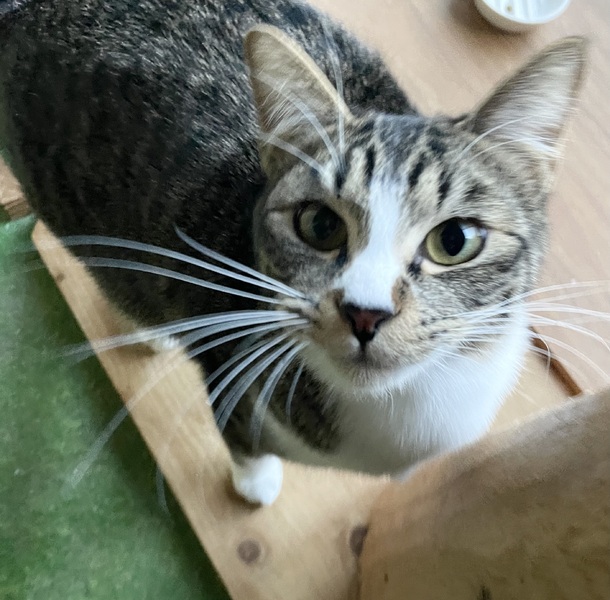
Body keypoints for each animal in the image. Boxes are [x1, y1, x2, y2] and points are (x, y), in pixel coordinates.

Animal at [0, 0, 586, 505]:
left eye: (455, 241)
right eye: (319, 225)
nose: (365, 313)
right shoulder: (230, 372)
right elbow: (241, 437)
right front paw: (254, 483)